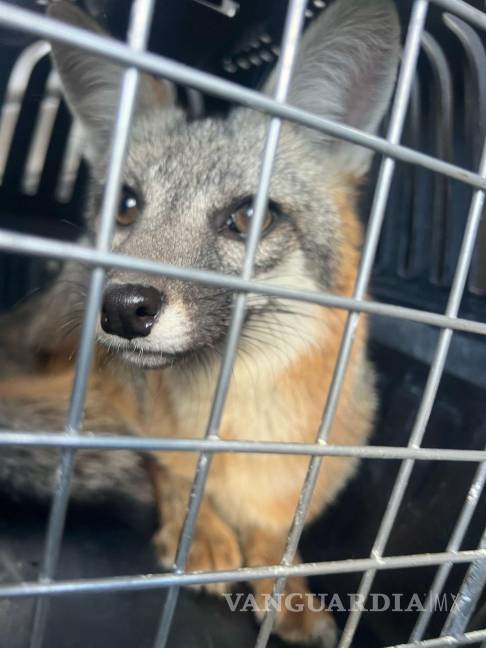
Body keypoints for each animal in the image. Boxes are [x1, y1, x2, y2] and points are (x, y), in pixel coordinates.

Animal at [0, 2, 400, 644]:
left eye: (250, 216)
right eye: (126, 205)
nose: (123, 306)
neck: (235, 425)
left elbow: (278, 529)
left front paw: (287, 587)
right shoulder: (133, 414)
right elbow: (170, 468)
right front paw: (203, 531)